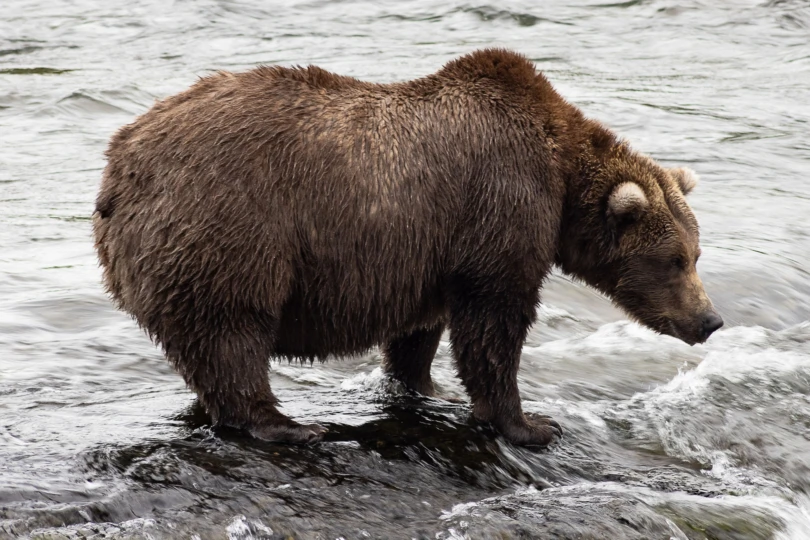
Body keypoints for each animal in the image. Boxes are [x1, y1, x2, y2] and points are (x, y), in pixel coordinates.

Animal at [93, 49, 723, 446]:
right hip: (230, 225)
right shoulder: (503, 205)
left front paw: (427, 387)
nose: (710, 319)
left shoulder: (430, 251)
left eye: (696, 255)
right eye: (674, 261)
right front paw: (531, 424)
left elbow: (421, 329)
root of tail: (118, 168)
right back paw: (288, 425)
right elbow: (495, 323)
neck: (562, 175)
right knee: (233, 331)